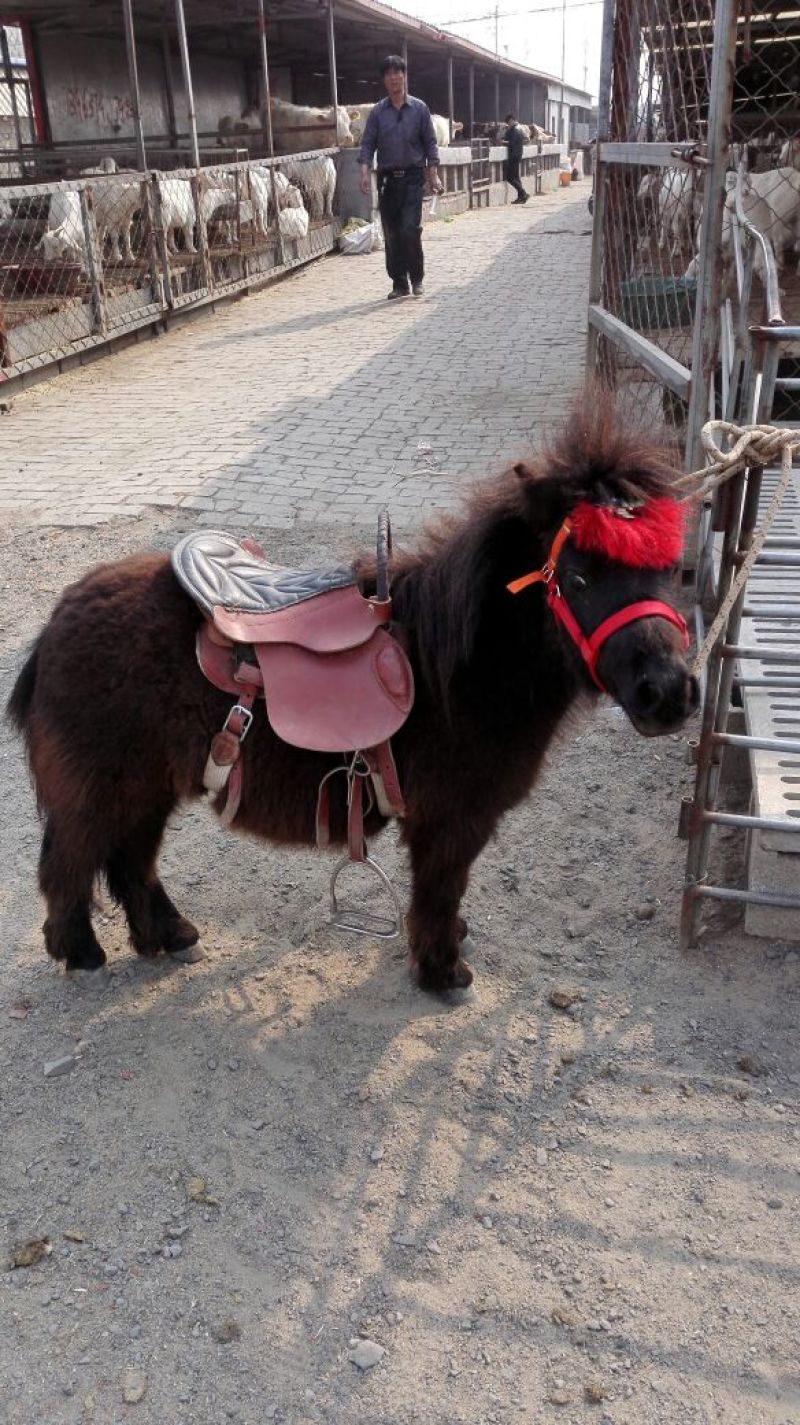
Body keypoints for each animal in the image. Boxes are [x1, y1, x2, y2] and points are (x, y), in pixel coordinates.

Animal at [7, 406, 698, 993]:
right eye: (577, 577)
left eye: (668, 568)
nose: (669, 694)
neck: (457, 667)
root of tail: (60, 617)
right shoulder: (453, 820)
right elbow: (441, 889)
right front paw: (442, 970)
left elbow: (442, 894)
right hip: (103, 789)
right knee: (71, 862)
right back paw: (81, 951)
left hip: (147, 789)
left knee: (129, 863)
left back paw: (167, 935)